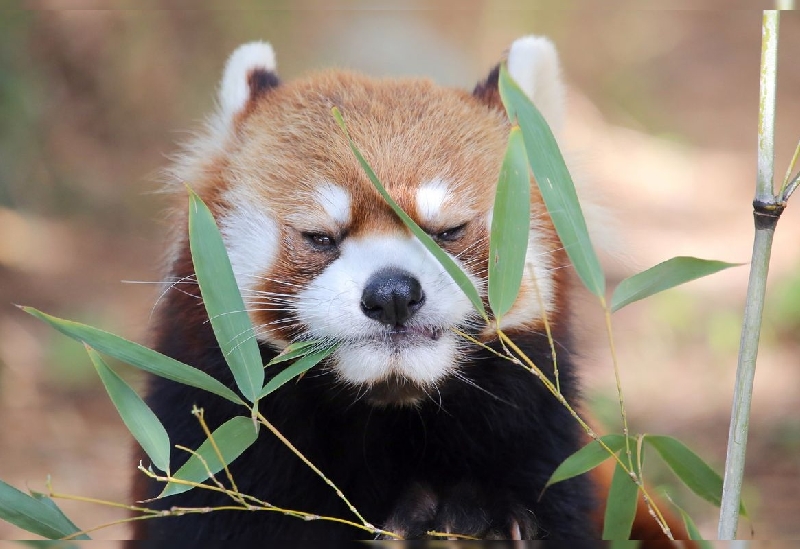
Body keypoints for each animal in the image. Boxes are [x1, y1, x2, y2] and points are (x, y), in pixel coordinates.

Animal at [128, 35, 684, 544]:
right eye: (319, 237)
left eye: (448, 231)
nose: (393, 294)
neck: (389, 415)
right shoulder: (215, 441)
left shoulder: (546, 449)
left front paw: (473, 517)